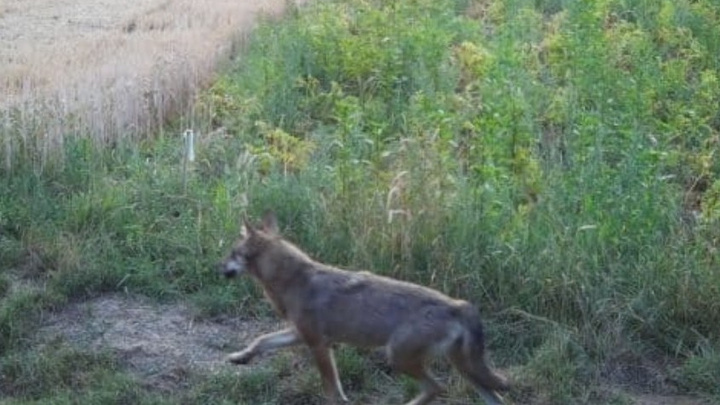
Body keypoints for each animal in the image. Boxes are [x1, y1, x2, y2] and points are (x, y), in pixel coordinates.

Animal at [218, 211, 509, 405]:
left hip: (398, 358)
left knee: (437, 387)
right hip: (461, 370)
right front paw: (240, 357)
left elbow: (332, 392)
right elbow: (260, 341)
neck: (293, 280)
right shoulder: (301, 335)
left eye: (232, 253)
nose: (217, 269)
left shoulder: (319, 345)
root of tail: (459, 305)